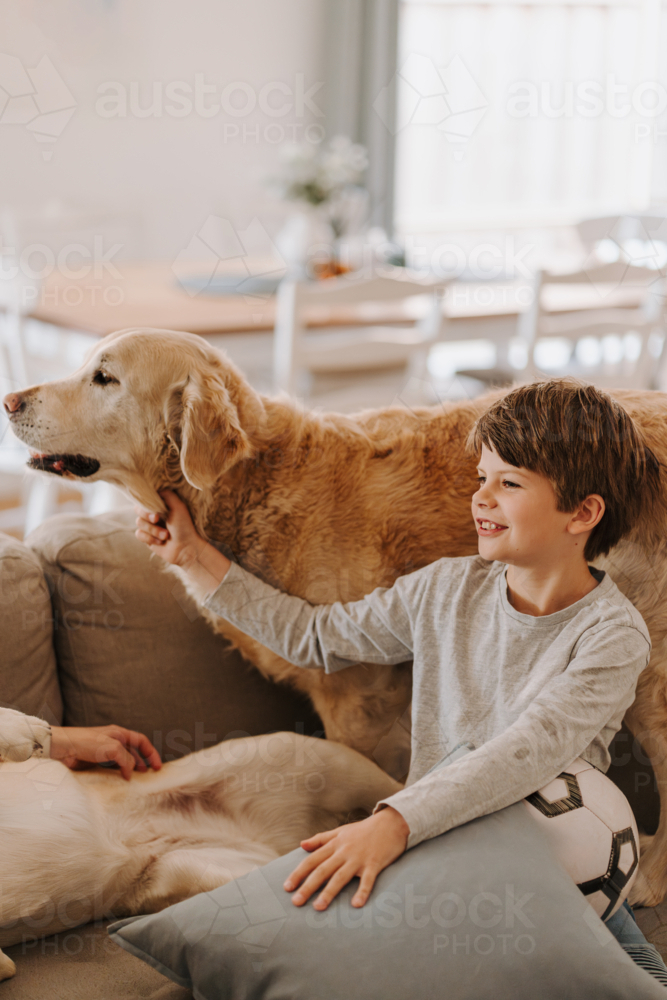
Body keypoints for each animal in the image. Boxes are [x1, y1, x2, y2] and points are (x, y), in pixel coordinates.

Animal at [3, 328, 667, 908]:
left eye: (105, 377)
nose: (10, 400)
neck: (253, 479)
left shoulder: (356, 701)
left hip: (649, 670)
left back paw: (650, 879)